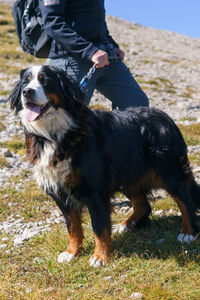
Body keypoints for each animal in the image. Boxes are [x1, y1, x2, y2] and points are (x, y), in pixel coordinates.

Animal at [9, 65, 200, 268]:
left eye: (45, 80)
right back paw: (126, 225)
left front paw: (100, 257)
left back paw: (188, 233)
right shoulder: (59, 189)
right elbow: (72, 226)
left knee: (185, 200)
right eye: (25, 81)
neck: (54, 135)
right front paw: (71, 253)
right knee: (143, 204)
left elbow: (99, 228)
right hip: (127, 174)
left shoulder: (94, 190)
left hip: (169, 171)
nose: (27, 92)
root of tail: (165, 117)